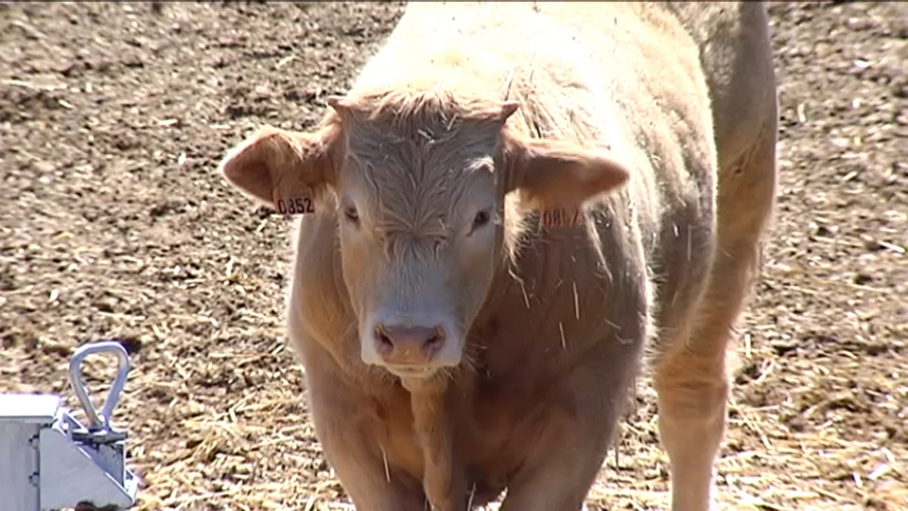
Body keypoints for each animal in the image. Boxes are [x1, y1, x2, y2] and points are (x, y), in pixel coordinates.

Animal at [220, 2, 780, 510]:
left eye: (482, 216)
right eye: (351, 211)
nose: (408, 338)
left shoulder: (582, 415)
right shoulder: (344, 418)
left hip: (736, 224)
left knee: (693, 406)